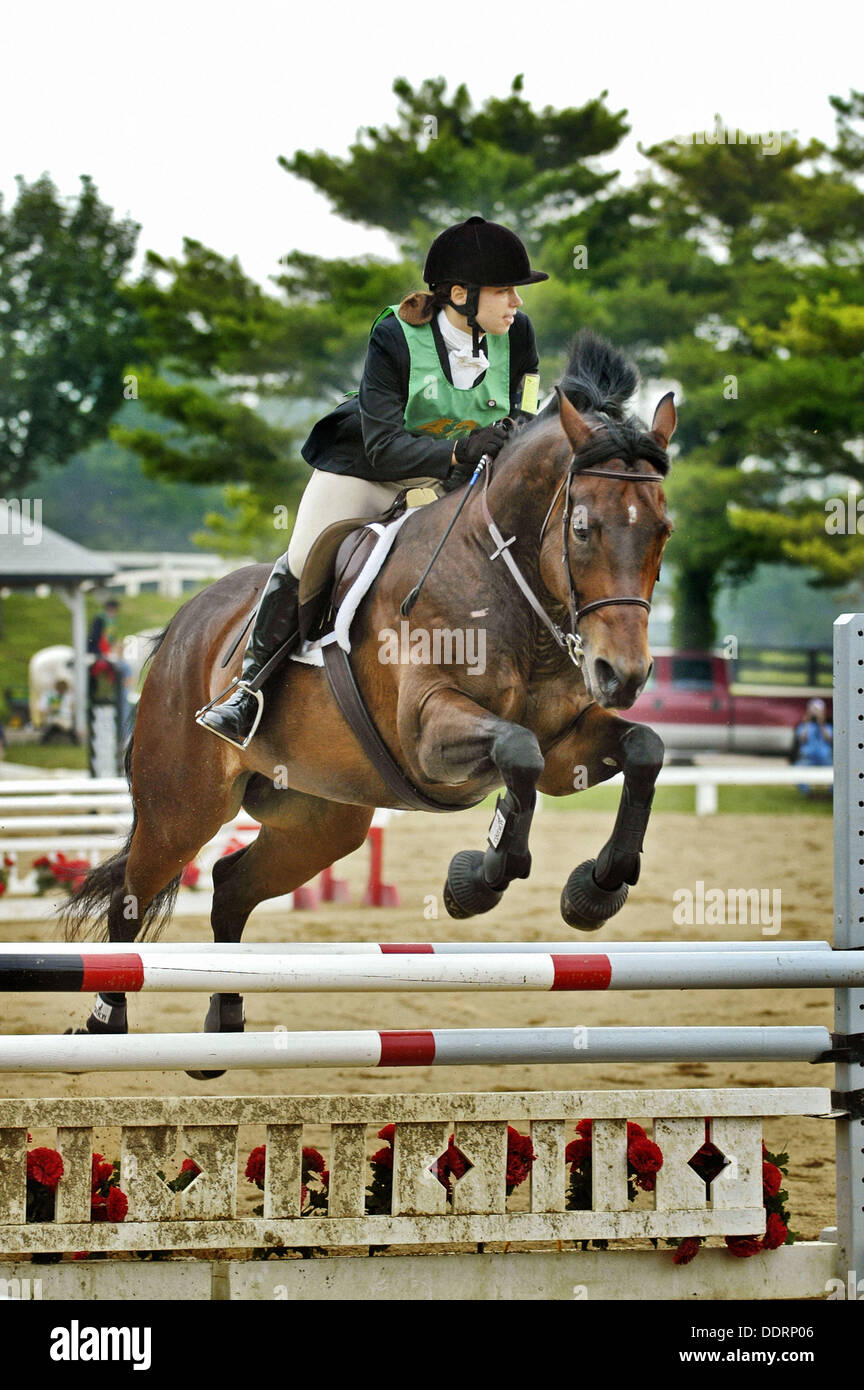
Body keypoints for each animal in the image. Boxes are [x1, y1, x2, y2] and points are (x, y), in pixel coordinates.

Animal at [62, 330, 676, 1067]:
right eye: (582, 529)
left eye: (663, 531)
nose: (626, 674)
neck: (507, 587)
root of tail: (186, 621)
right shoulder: (429, 732)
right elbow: (516, 750)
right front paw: (475, 881)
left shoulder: (568, 748)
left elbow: (640, 747)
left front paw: (595, 889)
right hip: (182, 806)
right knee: (133, 897)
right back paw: (103, 1022)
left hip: (322, 818)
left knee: (231, 884)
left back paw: (226, 1024)